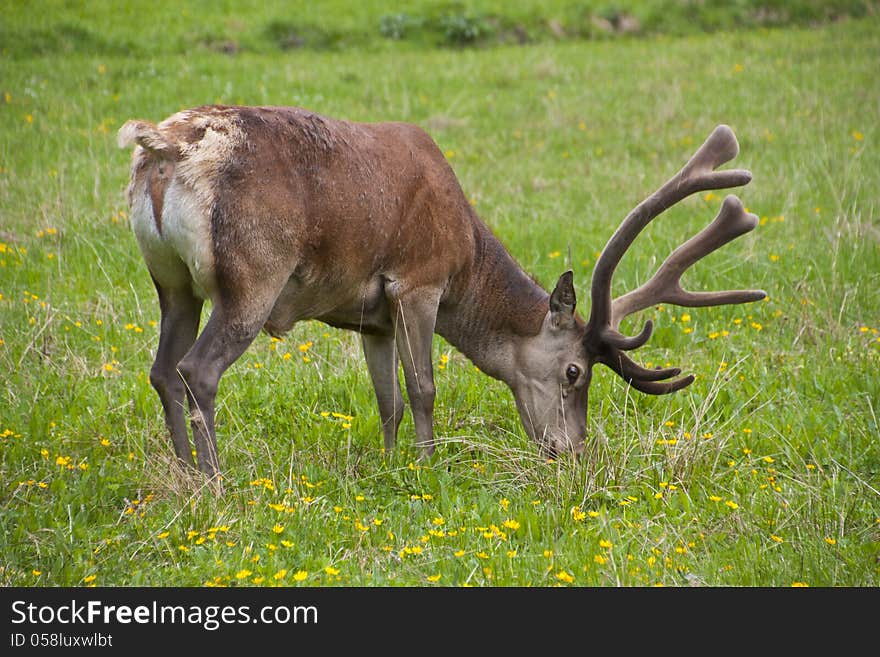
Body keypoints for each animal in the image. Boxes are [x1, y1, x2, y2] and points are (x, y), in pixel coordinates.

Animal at [117, 106, 764, 476]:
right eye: (575, 372)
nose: (572, 452)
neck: (466, 254)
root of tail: (164, 149)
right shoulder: (419, 280)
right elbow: (423, 387)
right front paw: (427, 468)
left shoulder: (370, 317)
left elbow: (387, 398)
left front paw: (389, 466)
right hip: (253, 275)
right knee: (197, 369)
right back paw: (215, 482)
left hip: (170, 281)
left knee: (161, 369)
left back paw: (183, 473)